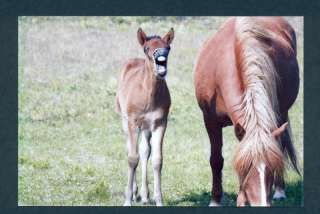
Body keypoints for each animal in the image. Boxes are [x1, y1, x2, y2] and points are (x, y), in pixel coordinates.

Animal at [115, 27, 174, 205]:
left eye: (168, 47)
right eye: (147, 48)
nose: (161, 55)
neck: (148, 95)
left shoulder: (160, 123)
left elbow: (157, 160)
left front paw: (159, 200)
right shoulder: (133, 123)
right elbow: (132, 158)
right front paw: (127, 199)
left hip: (147, 127)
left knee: (144, 150)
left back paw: (145, 195)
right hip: (125, 122)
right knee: (130, 149)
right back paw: (135, 193)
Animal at [194, 16, 302, 206]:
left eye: (272, 167)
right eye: (245, 167)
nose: (262, 204)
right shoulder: (210, 120)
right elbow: (216, 159)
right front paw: (216, 200)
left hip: (281, 114)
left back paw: (280, 191)